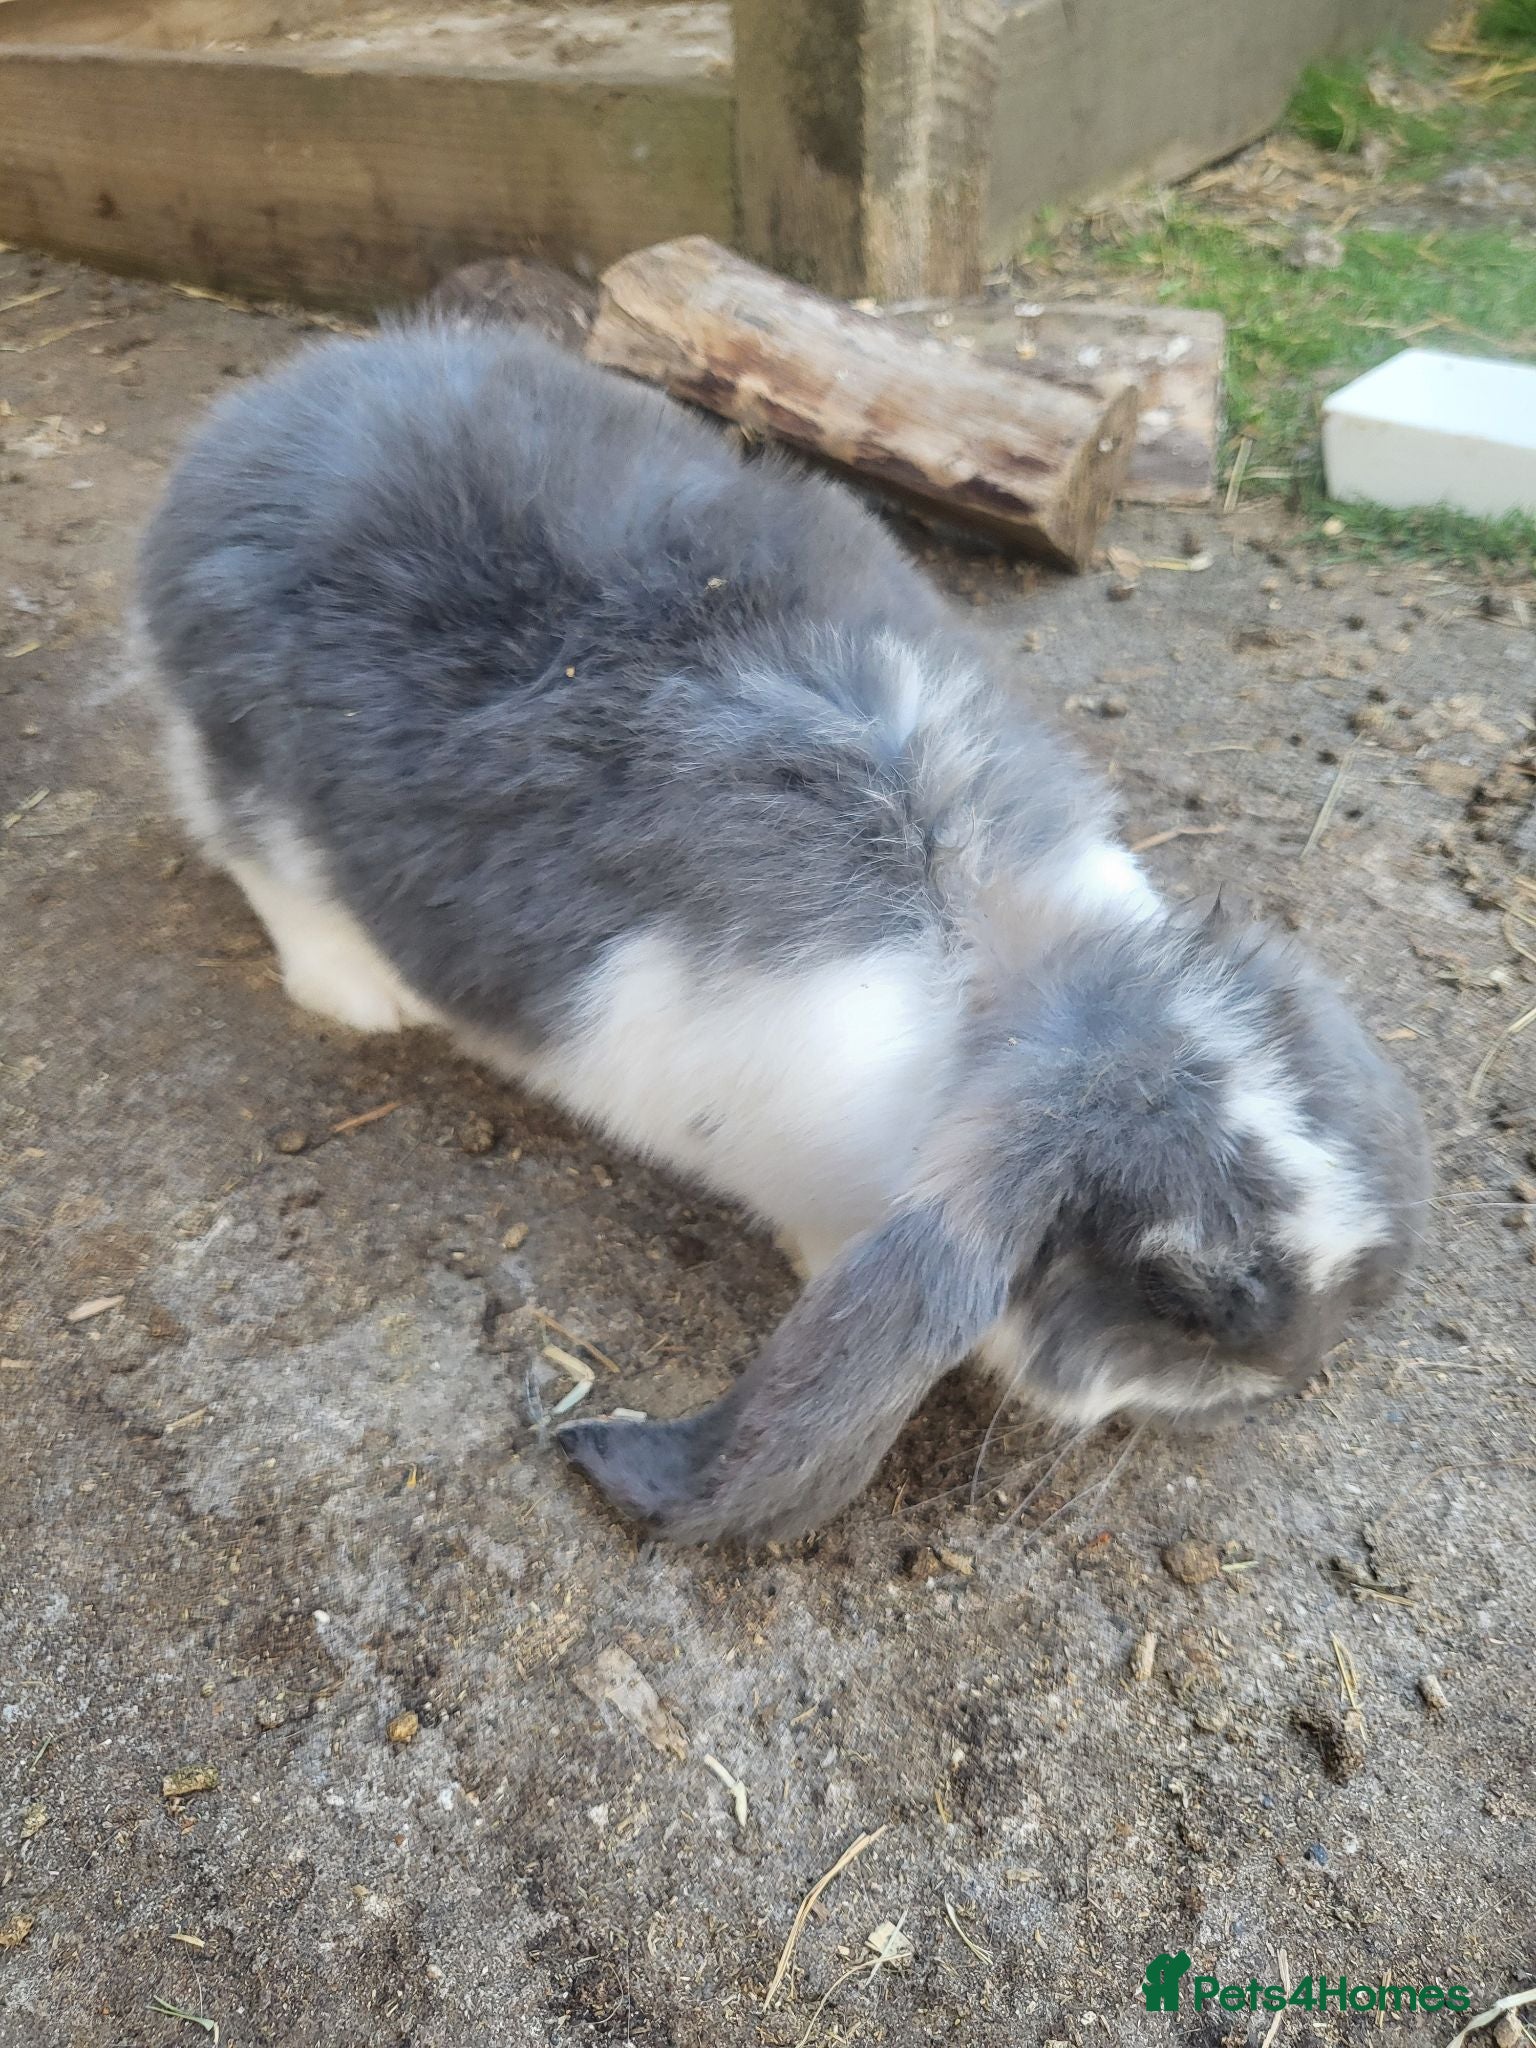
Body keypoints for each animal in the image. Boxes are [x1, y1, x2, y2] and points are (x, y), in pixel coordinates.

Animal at [137, 321, 1431, 1545]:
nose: (1282, 1373)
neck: (1007, 977)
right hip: (241, 765)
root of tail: (241, 430)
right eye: (1180, 1295)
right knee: (259, 860)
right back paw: (360, 991)